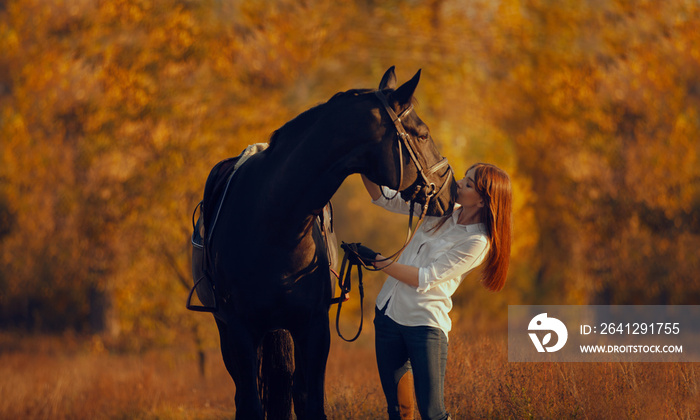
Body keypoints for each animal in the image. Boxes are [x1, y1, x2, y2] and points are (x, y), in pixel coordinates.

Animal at [196, 67, 454, 418]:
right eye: (423, 134)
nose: (451, 190)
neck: (273, 223)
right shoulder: (238, 331)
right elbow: (250, 404)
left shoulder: (315, 328)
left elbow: (310, 402)